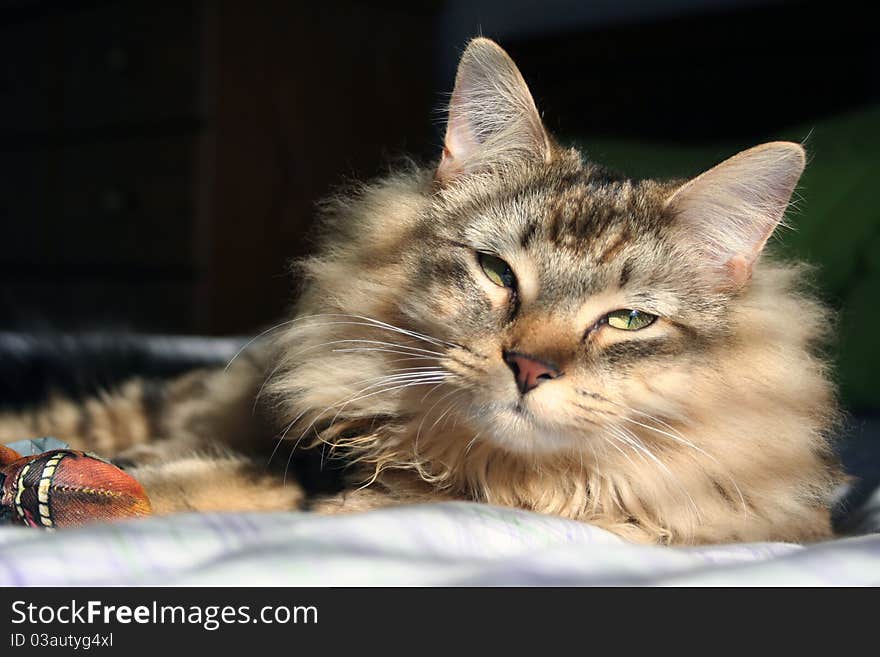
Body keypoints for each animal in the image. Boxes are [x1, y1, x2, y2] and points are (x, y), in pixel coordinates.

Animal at [0, 39, 844, 544]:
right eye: (498, 273)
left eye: (629, 319)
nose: (530, 367)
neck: (482, 471)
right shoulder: (299, 458)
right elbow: (168, 475)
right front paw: (71, 483)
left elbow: (173, 485)